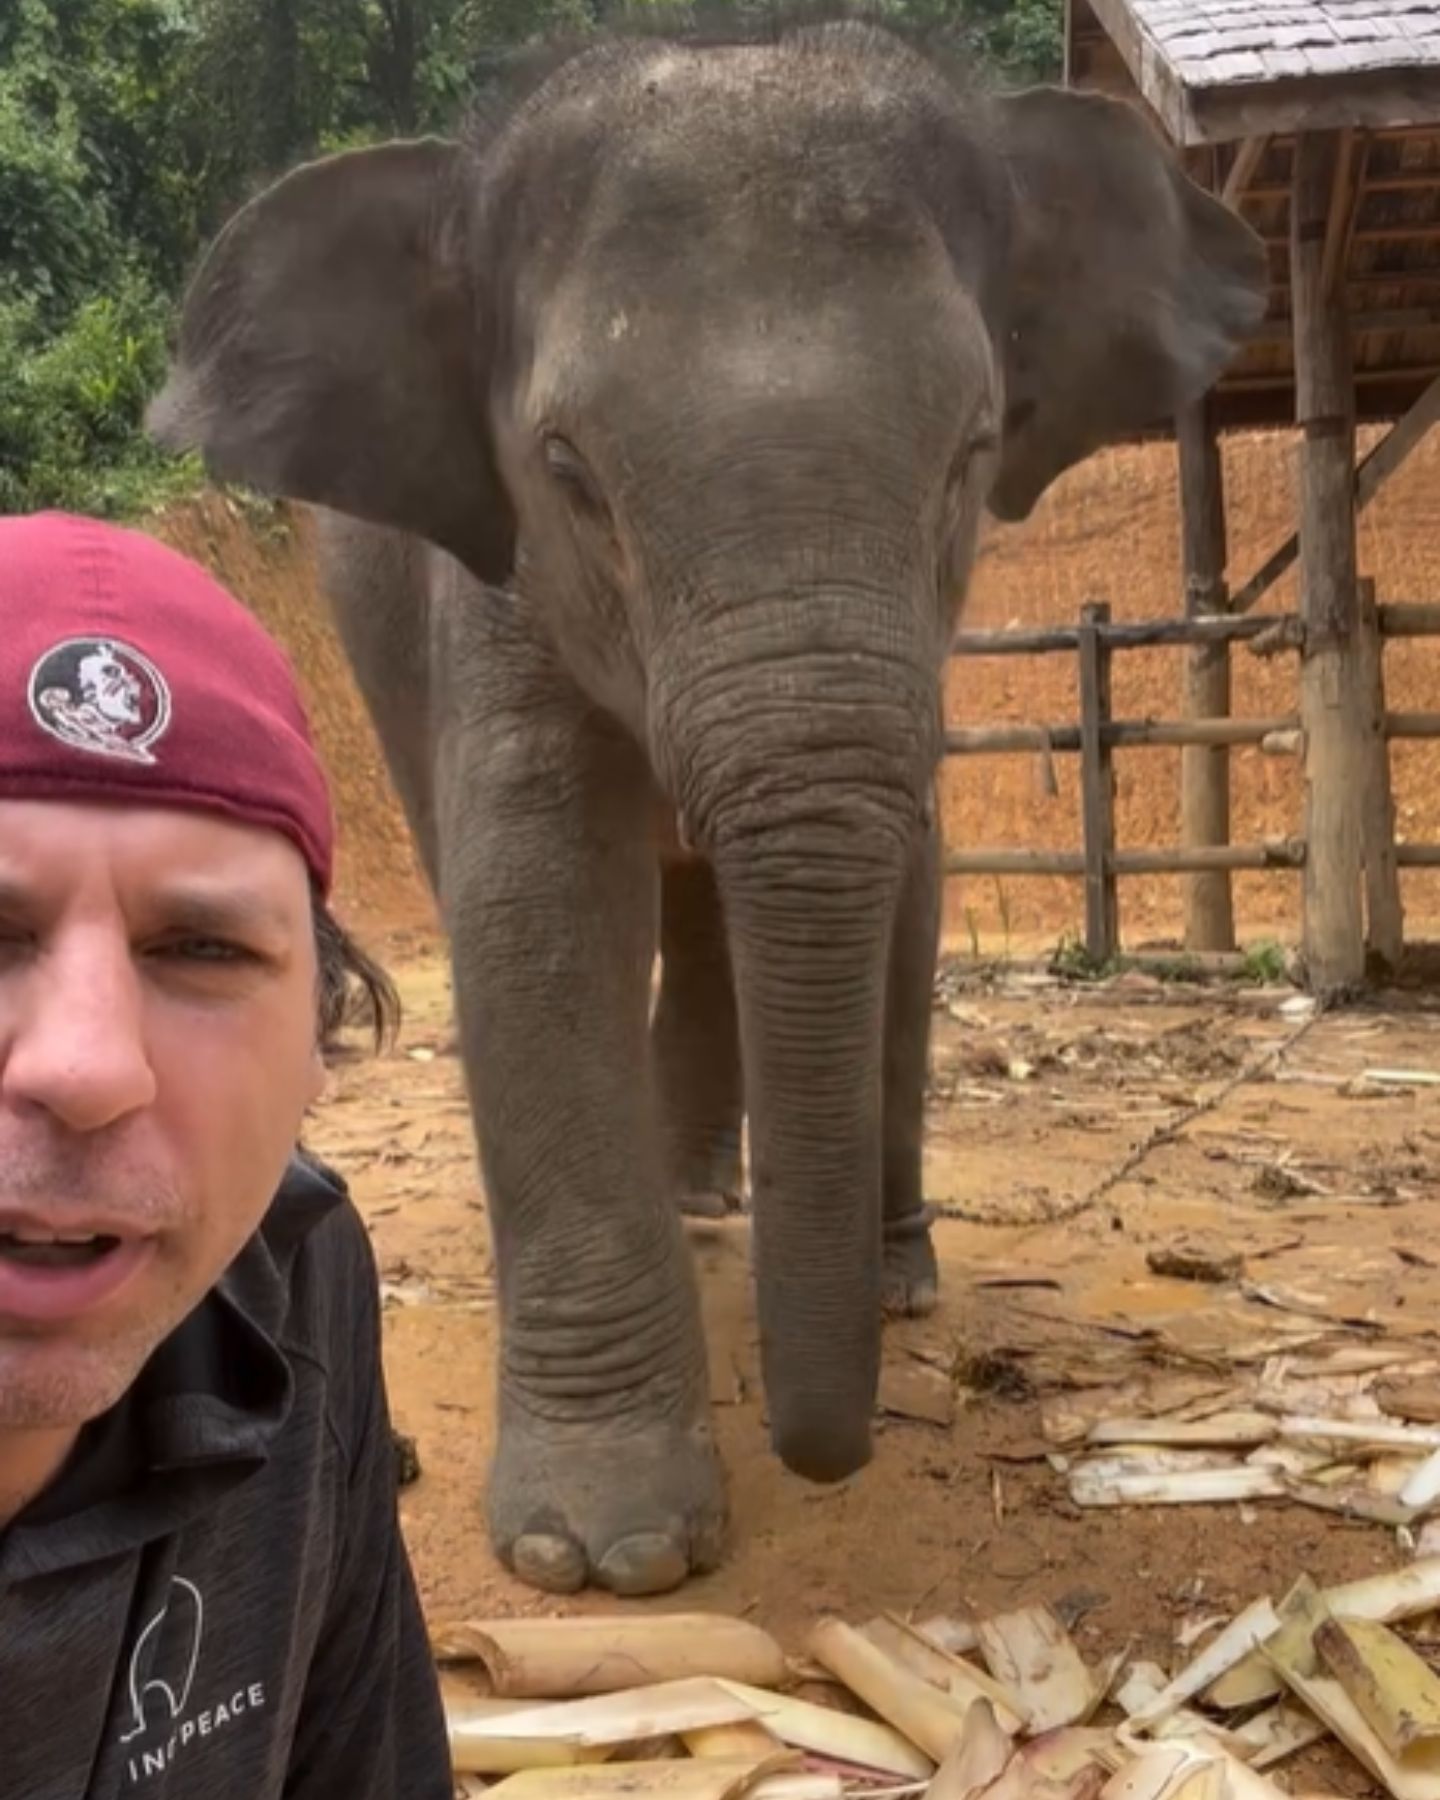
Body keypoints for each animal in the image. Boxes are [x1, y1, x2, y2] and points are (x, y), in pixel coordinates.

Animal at [152, 10, 1267, 1591]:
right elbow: (538, 899)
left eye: (975, 452)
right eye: (569, 474)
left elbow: (896, 895)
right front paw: (601, 1555)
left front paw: (890, 1288)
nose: (828, 1459)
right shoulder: (492, 579)